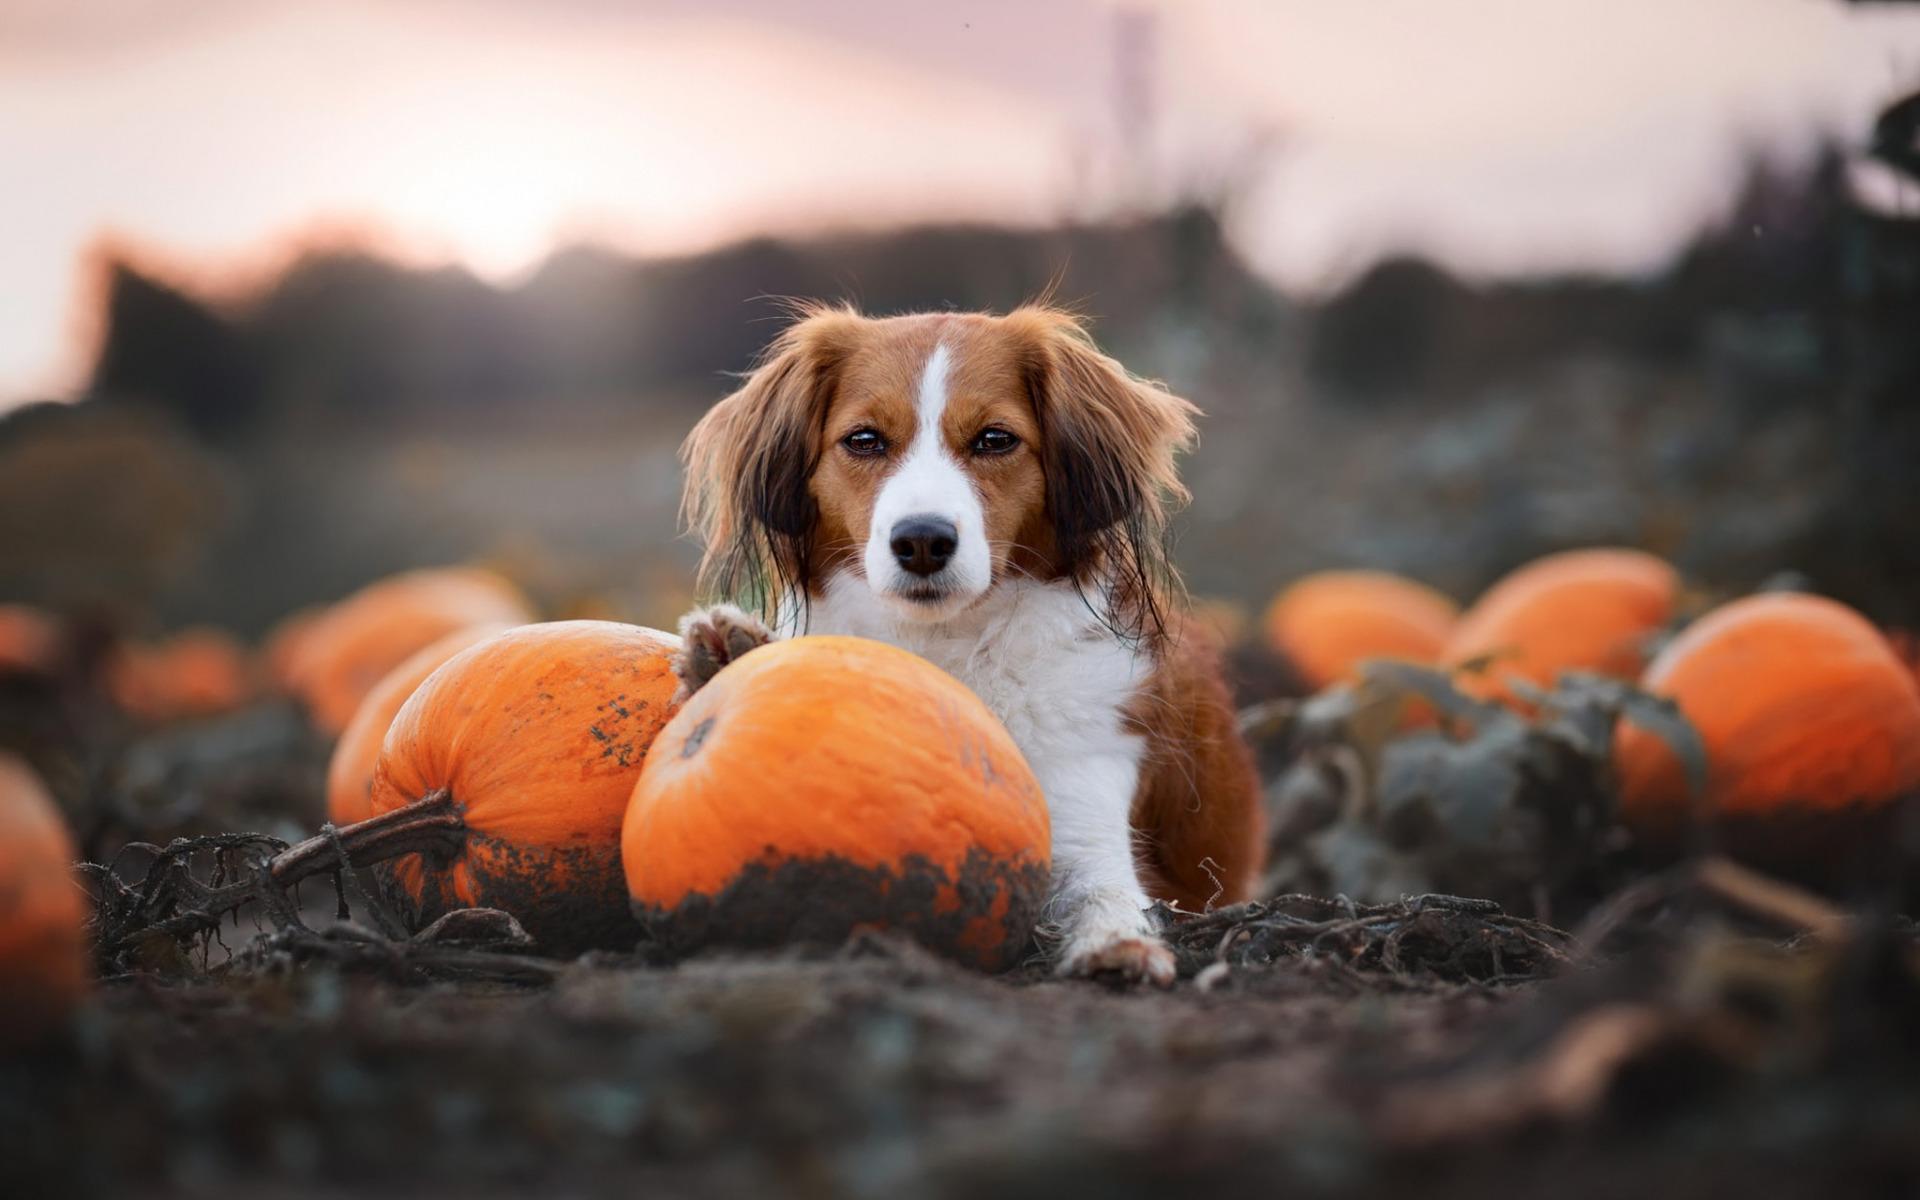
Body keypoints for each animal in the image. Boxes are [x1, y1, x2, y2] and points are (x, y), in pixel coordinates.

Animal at [668, 307, 1267, 983]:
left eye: (995, 439)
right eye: (865, 440)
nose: (922, 540)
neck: (948, 646)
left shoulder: (1087, 805)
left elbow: (1105, 891)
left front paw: (1116, 946)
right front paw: (726, 656)